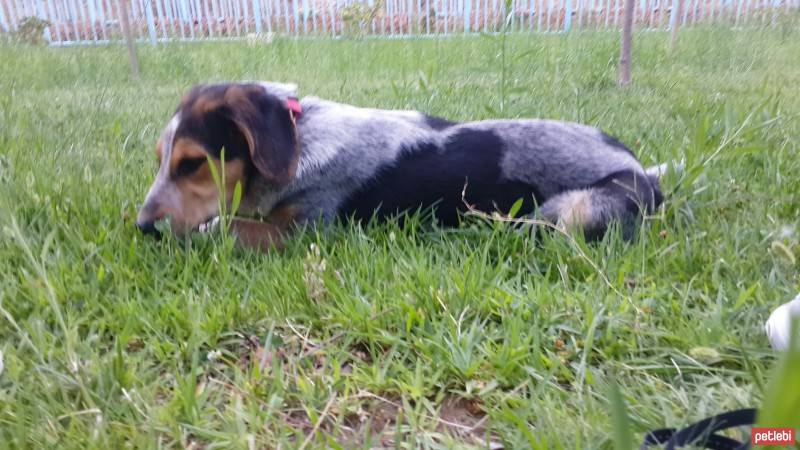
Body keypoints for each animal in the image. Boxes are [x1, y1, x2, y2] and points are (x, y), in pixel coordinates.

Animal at [139, 81, 668, 250]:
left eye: (192, 164)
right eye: (161, 161)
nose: (143, 227)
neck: (303, 139)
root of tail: (642, 168)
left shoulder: (300, 232)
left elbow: (217, 228)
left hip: (568, 211)